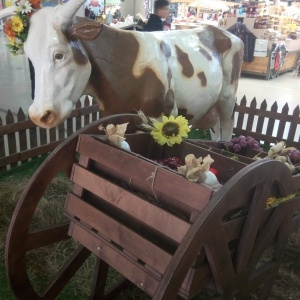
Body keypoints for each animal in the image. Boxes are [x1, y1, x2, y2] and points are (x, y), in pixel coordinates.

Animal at [0, 0, 244, 141]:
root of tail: (223, 33)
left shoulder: (163, 115)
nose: (39, 115)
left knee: (227, 131)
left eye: (59, 54)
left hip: (227, 99)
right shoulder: (113, 117)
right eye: (29, 55)